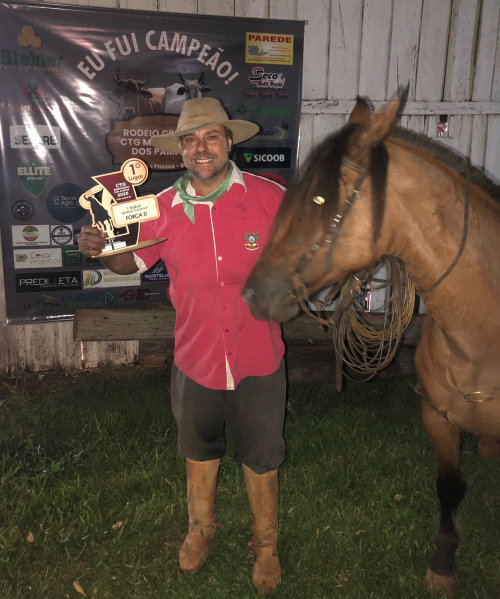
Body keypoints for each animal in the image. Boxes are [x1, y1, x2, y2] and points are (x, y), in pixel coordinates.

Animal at [242, 94, 500, 594]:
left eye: (319, 198)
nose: (253, 294)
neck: (480, 337)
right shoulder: (437, 418)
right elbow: (449, 488)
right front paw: (443, 564)